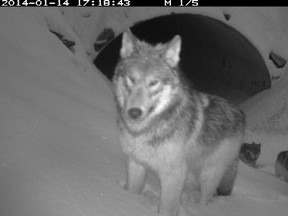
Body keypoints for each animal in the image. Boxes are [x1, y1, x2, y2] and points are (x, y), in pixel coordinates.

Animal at [112, 30, 245, 216]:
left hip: (208, 175)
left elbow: (166, 208)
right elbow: (132, 192)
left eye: (154, 82)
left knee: (205, 199)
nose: (134, 112)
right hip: (191, 173)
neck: (145, 131)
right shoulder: (136, 163)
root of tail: (239, 113)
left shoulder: (173, 175)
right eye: (131, 78)